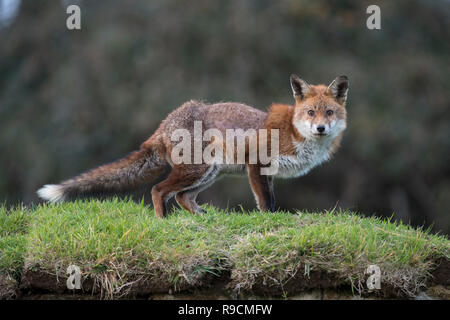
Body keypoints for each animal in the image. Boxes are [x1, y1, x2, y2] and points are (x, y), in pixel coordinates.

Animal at [37, 74, 348, 218]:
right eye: (311, 113)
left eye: (329, 113)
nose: (321, 128)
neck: (295, 135)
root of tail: (165, 121)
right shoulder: (257, 164)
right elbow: (266, 203)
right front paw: (269, 222)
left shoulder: (267, 172)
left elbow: (270, 200)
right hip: (197, 170)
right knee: (159, 190)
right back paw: (161, 221)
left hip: (210, 173)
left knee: (182, 197)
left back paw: (201, 218)